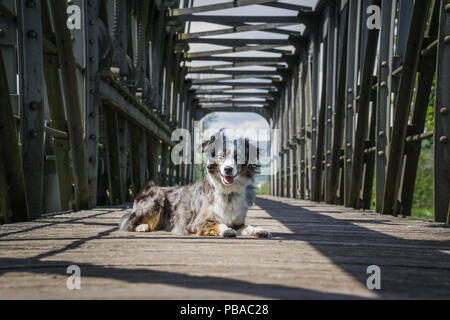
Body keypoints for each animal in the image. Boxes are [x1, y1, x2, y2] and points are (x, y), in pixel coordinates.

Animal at [118, 130, 270, 238]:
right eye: (221, 155)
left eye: (238, 157)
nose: (228, 169)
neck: (228, 193)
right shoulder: (195, 223)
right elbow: (218, 224)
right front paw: (226, 230)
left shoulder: (238, 222)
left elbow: (248, 226)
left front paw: (260, 230)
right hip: (155, 200)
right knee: (128, 222)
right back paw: (142, 227)